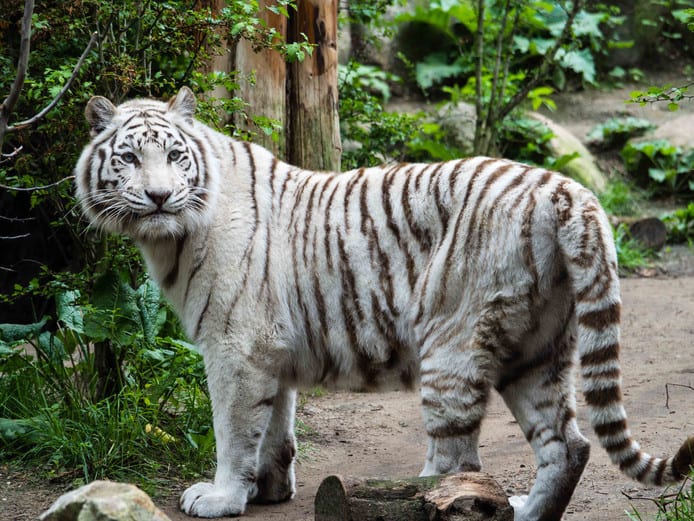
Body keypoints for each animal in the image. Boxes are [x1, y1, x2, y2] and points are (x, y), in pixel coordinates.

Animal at [76, 87, 694, 516]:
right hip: (539, 349)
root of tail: (567, 190)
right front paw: (268, 490)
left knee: (458, 467)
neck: (170, 237)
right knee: (568, 446)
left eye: (175, 156)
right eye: (129, 159)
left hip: (453, 344)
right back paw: (526, 513)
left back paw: (411, 503)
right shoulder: (269, 349)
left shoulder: (236, 347)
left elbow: (233, 430)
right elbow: (274, 426)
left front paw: (222, 497)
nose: (159, 196)